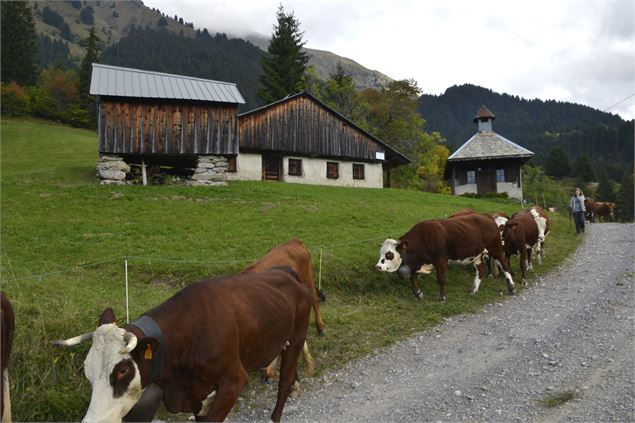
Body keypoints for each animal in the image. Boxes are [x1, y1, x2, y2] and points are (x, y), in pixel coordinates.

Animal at [53, 270, 312, 422]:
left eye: (122, 371)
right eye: (87, 371)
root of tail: (288, 273)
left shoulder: (234, 380)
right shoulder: (197, 395)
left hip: (297, 337)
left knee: (285, 380)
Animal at [376, 215, 516, 302]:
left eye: (389, 254)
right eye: (381, 253)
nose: (377, 267)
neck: (423, 237)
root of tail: (487, 217)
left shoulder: (441, 260)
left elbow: (441, 279)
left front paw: (442, 297)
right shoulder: (418, 263)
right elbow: (413, 278)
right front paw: (418, 293)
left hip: (495, 249)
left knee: (505, 265)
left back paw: (511, 287)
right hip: (477, 256)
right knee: (480, 271)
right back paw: (474, 290)